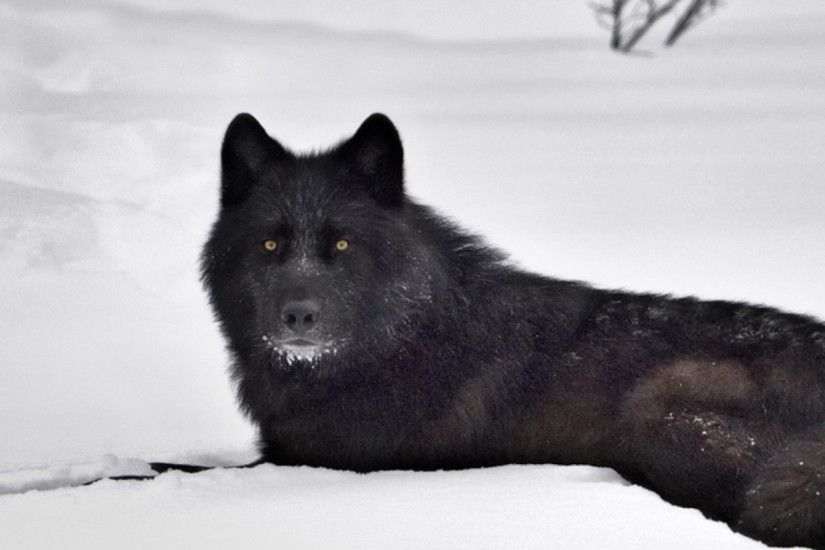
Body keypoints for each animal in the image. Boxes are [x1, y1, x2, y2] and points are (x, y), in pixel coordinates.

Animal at [200, 114, 824, 548]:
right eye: (270, 244)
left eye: (343, 244)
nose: (299, 315)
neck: (398, 341)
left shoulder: (317, 463)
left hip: (659, 408)